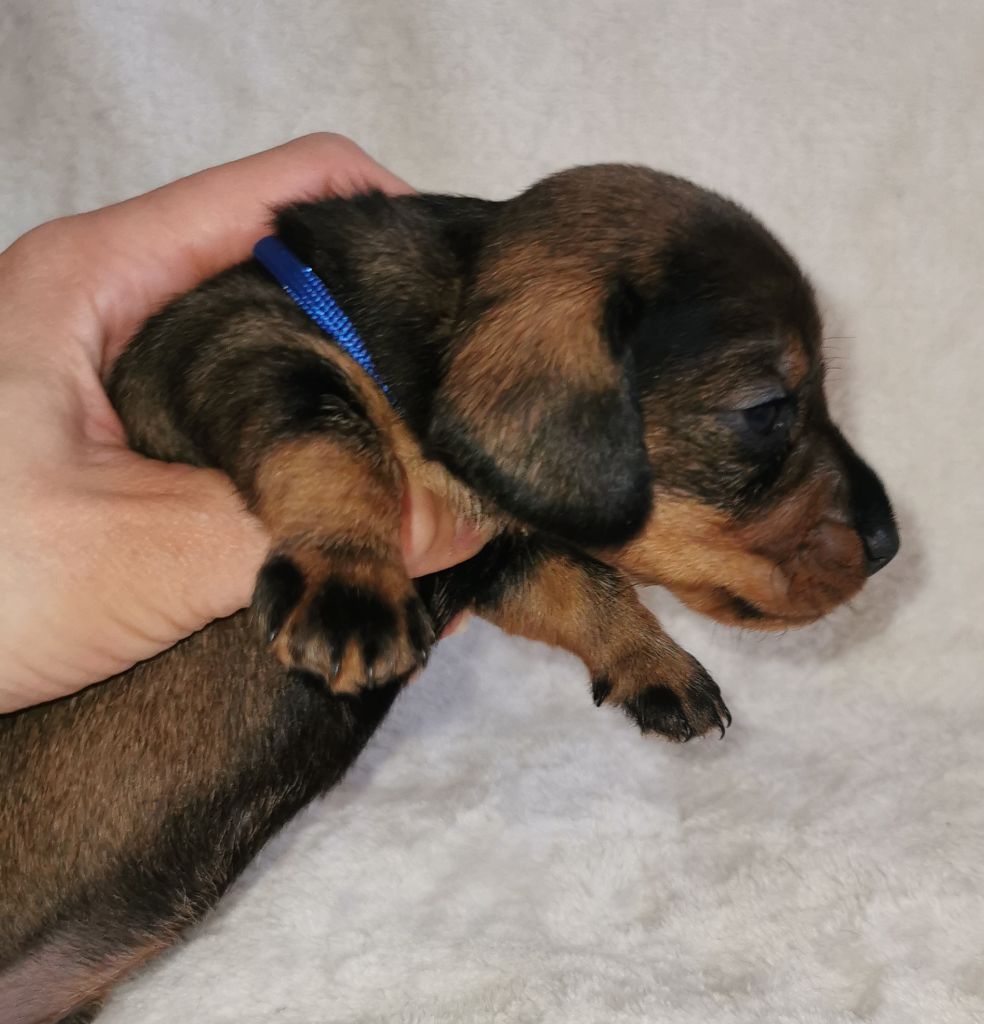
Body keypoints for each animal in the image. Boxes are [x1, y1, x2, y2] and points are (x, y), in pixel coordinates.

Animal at [0, 164, 898, 1023]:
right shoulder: (241, 340)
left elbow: (581, 584)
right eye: (766, 409)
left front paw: (657, 664)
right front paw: (350, 578)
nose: (891, 544)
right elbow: (332, 432)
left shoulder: (497, 551)